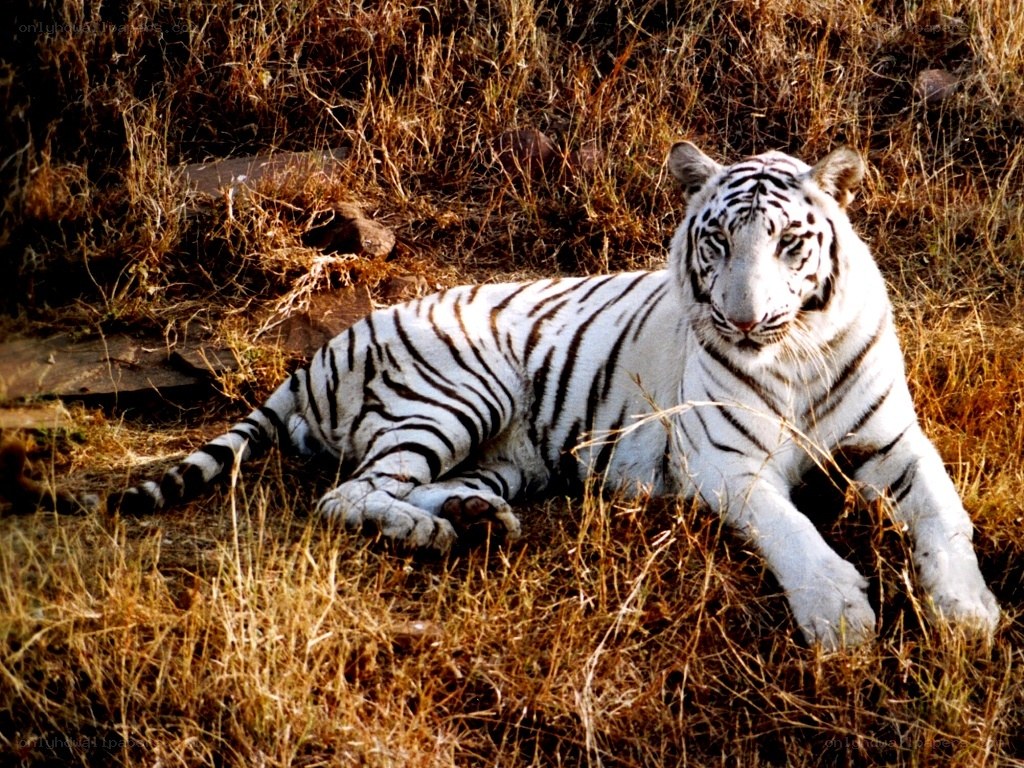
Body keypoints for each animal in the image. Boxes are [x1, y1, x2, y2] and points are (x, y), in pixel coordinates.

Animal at [110, 142, 1000, 651]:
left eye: (789, 243)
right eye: (716, 240)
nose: (743, 318)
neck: (798, 353)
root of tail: (321, 349)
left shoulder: (893, 439)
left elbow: (944, 513)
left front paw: (970, 614)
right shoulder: (726, 463)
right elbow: (792, 530)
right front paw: (839, 616)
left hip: (506, 455)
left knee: (408, 483)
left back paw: (474, 518)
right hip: (456, 392)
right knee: (348, 494)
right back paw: (431, 533)